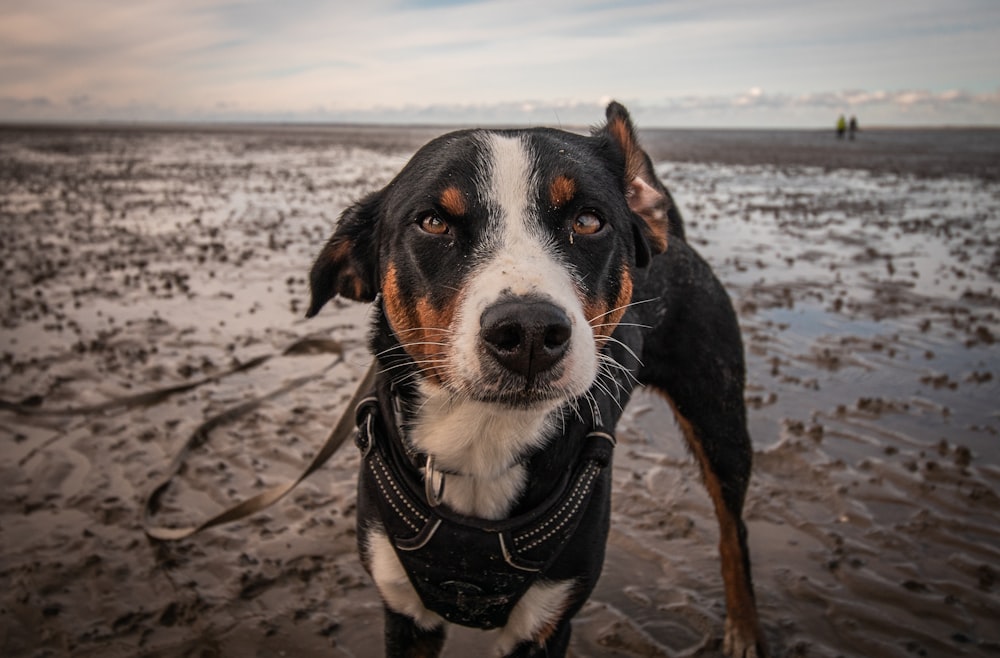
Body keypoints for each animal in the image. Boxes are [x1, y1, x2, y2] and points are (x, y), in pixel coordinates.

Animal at [304, 102, 764, 656]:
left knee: (733, 531)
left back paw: (744, 627)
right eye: (433, 222)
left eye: (588, 221)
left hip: (717, 415)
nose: (528, 331)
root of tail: (670, 233)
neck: (483, 443)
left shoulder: (546, 620)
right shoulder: (405, 611)